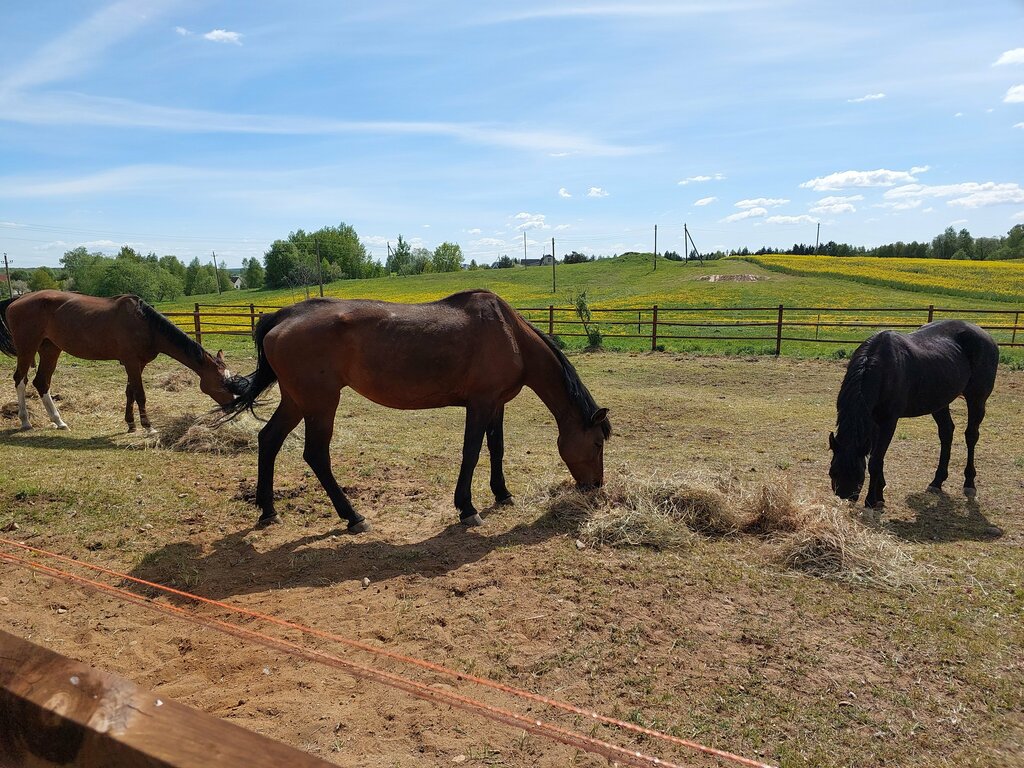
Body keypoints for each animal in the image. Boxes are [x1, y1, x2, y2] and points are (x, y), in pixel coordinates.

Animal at [0, 288, 240, 434]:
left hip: (50, 349)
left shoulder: (137, 364)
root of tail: (17, 300)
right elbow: (140, 394)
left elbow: (130, 392)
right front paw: (148, 427)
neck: (145, 324)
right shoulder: (132, 362)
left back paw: (59, 421)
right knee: (20, 379)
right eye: (222, 383)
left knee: (42, 382)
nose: (235, 408)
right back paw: (25, 421)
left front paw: (131, 424)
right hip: (27, 349)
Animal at [224, 290, 606, 536]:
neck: (510, 334)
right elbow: (471, 452)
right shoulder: (480, 404)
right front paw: (467, 508)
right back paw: (353, 517)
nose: (596, 487)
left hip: (295, 399)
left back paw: (268, 511)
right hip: (320, 403)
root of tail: (284, 315)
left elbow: (496, 449)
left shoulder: (497, 403)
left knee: (269, 440)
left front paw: (503, 494)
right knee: (316, 455)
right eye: (598, 443)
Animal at [827, 319, 995, 512]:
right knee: (946, 433)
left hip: (977, 399)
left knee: (971, 436)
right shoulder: (875, 421)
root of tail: (986, 335)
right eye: (832, 472)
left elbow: (875, 461)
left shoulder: (889, 421)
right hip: (939, 402)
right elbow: (879, 458)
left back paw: (969, 484)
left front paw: (870, 501)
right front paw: (880, 495)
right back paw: (936, 482)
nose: (844, 499)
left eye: (858, 474)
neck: (880, 367)